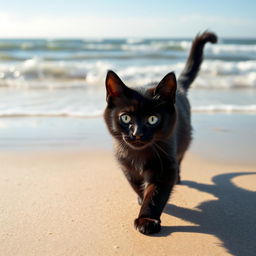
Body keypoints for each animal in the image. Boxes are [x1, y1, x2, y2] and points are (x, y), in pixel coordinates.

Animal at [103, 31, 217, 234]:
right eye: (126, 118)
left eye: (152, 119)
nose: (137, 133)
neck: (139, 154)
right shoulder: (126, 165)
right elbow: (137, 185)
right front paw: (141, 198)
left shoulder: (165, 166)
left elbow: (156, 193)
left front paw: (147, 220)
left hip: (183, 140)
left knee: (180, 158)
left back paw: (178, 178)